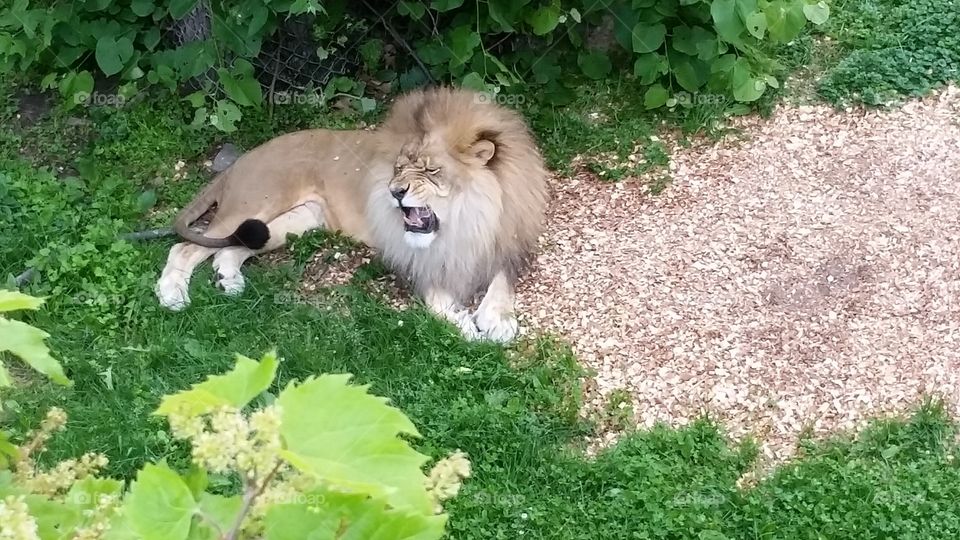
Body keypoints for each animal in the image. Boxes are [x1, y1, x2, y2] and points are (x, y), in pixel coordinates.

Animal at [155, 86, 552, 344]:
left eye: (431, 170)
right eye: (398, 168)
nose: (395, 192)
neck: (466, 219)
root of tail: (241, 161)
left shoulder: (507, 243)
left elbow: (501, 282)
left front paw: (498, 319)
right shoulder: (414, 258)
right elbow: (440, 301)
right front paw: (467, 326)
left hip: (293, 222)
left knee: (229, 248)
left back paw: (229, 280)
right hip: (255, 204)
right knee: (184, 248)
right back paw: (172, 294)